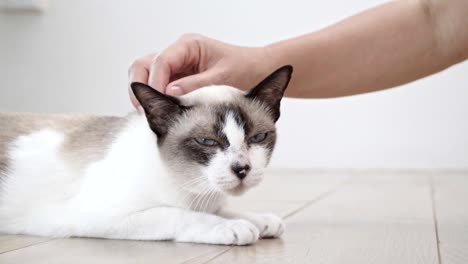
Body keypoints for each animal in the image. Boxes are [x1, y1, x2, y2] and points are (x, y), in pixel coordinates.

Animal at [0, 65, 292, 245]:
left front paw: (261, 221)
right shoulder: (103, 215)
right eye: (207, 141)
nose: (242, 169)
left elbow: (226, 210)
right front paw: (233, 228)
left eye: (257, 138)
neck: (190, 189)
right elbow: (177, 214)